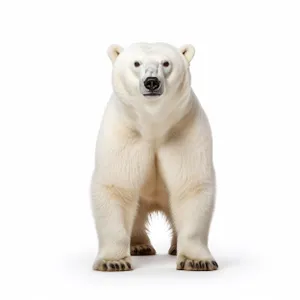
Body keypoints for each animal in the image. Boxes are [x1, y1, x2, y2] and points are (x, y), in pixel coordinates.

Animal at [91, 42, 218, 272]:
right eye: (136, 63)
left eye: (166, 63)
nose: (151, 82)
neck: (153, 126)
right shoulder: (125, 135)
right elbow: (117, 187)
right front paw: (113, 261)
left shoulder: (183, 132)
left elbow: (190, 186)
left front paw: (196, 260)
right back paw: (139, 246)